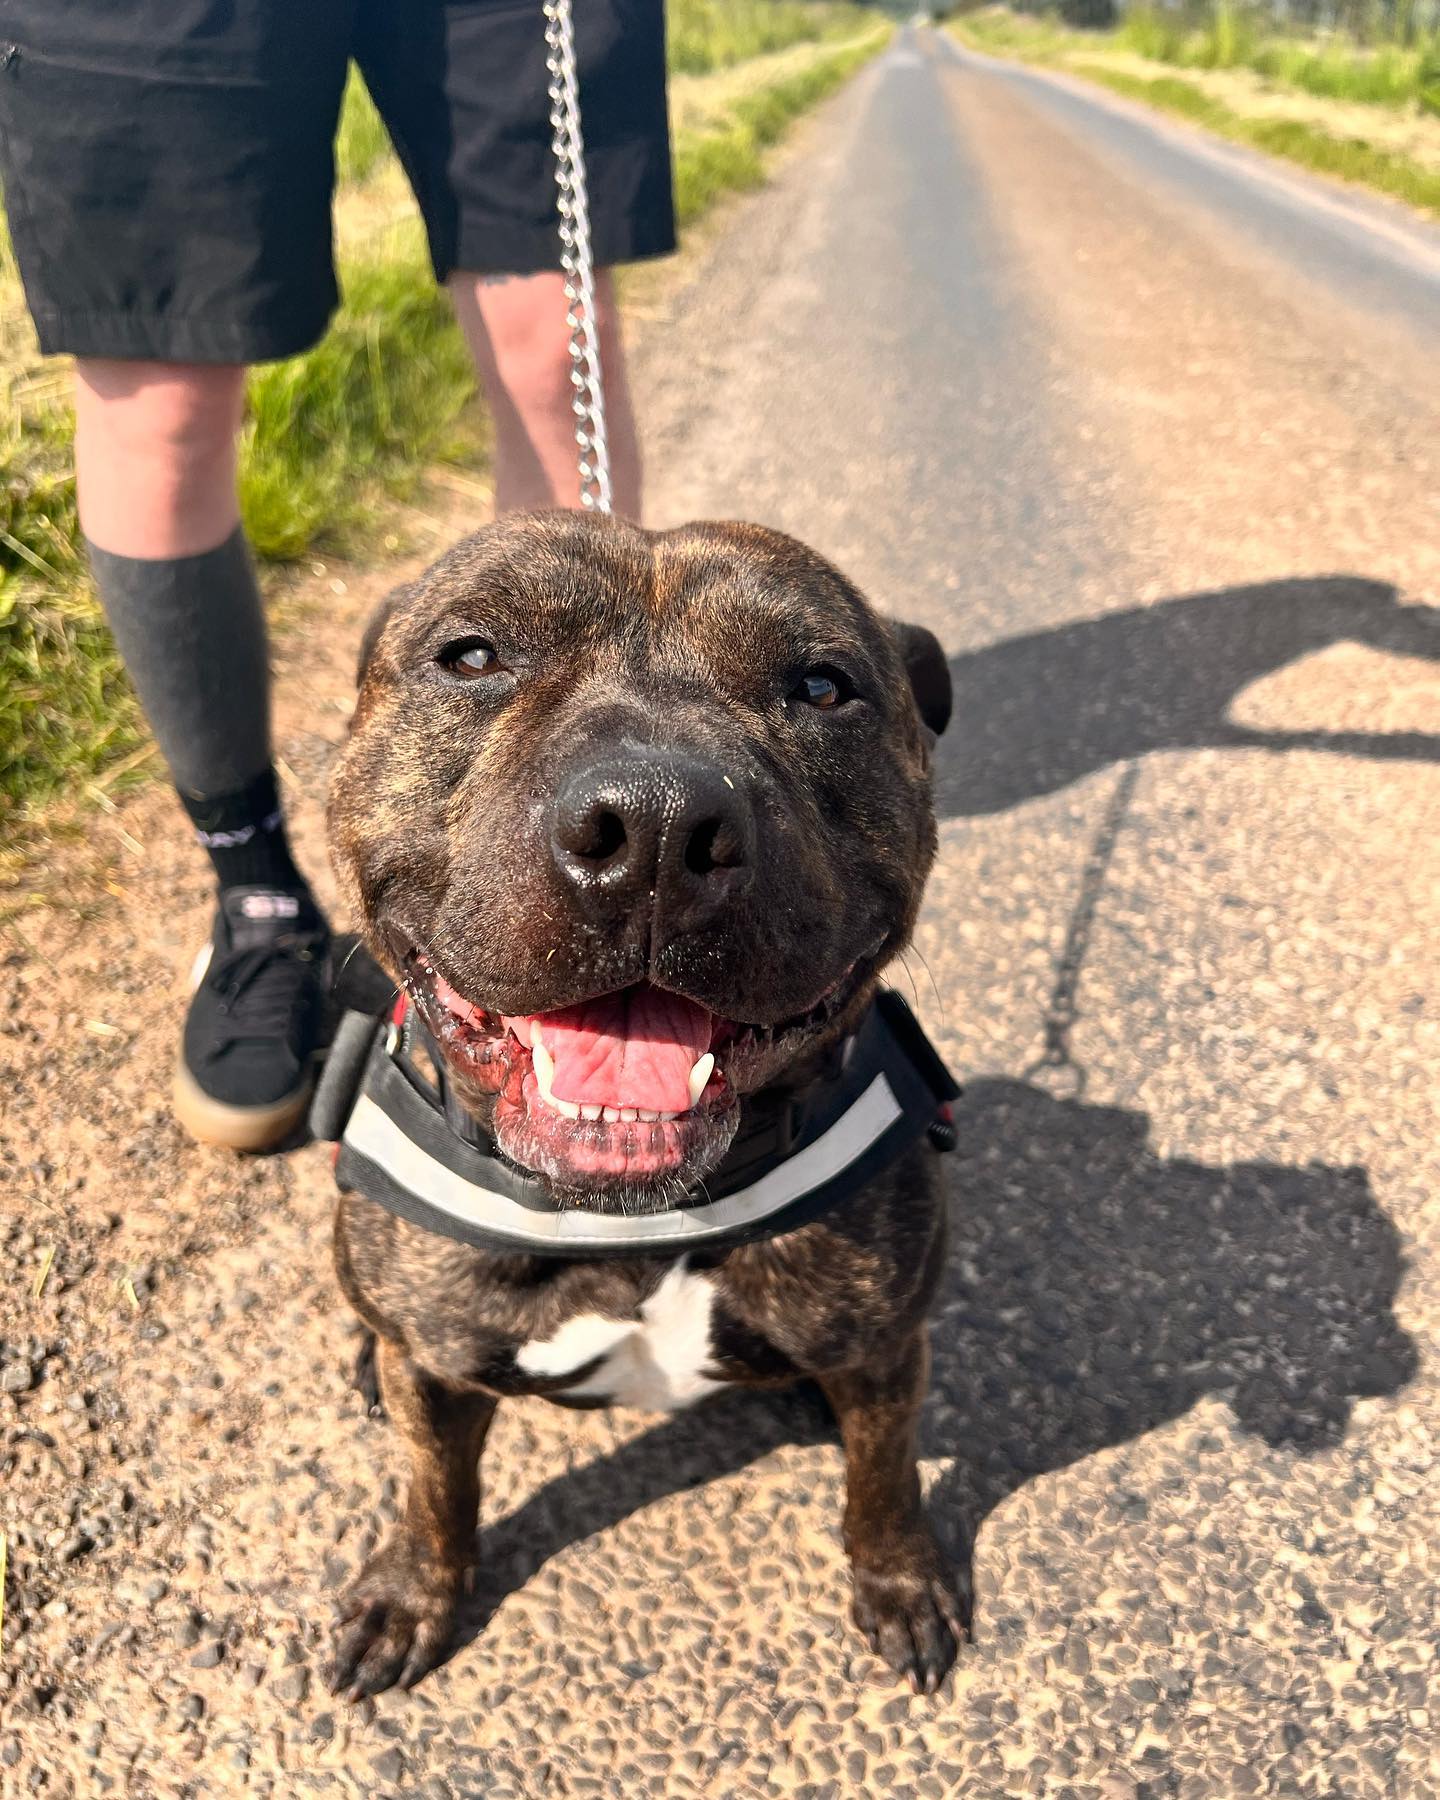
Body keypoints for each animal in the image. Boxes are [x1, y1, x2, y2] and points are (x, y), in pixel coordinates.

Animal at [320, 511, 964, 1699]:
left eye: (823, 686)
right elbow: (434, 1488)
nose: (658, 823)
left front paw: (902, 1579)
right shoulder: (431, 1371)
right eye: (472, 656)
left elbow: (885, 1474)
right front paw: (410, 1594)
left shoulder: (890, 1343)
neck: (634, 1214)